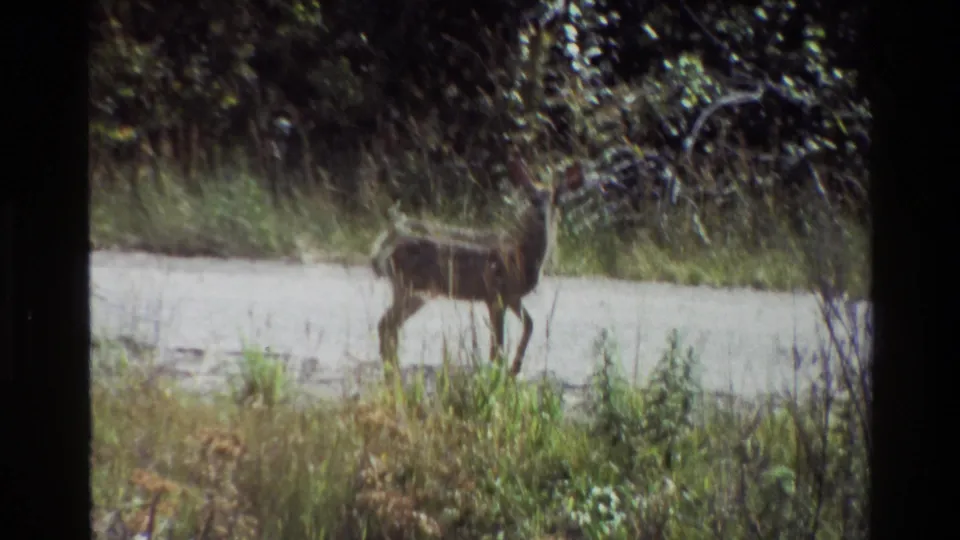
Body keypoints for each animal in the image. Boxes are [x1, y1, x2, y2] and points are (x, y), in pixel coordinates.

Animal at [369, 152, 589, 378]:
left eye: (556, 198)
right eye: (530, 196)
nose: (539, 212)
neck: (520, 253)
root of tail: (383, 247)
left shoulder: (512, 297)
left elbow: (529, 324)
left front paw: (514, 369)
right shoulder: (495, 294)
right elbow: (497, 345)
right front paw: (497, 373)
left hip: (418, 292)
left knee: (388, 325)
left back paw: (393, 368)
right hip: (409, 286)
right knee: (386, 324)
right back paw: (392, 370)